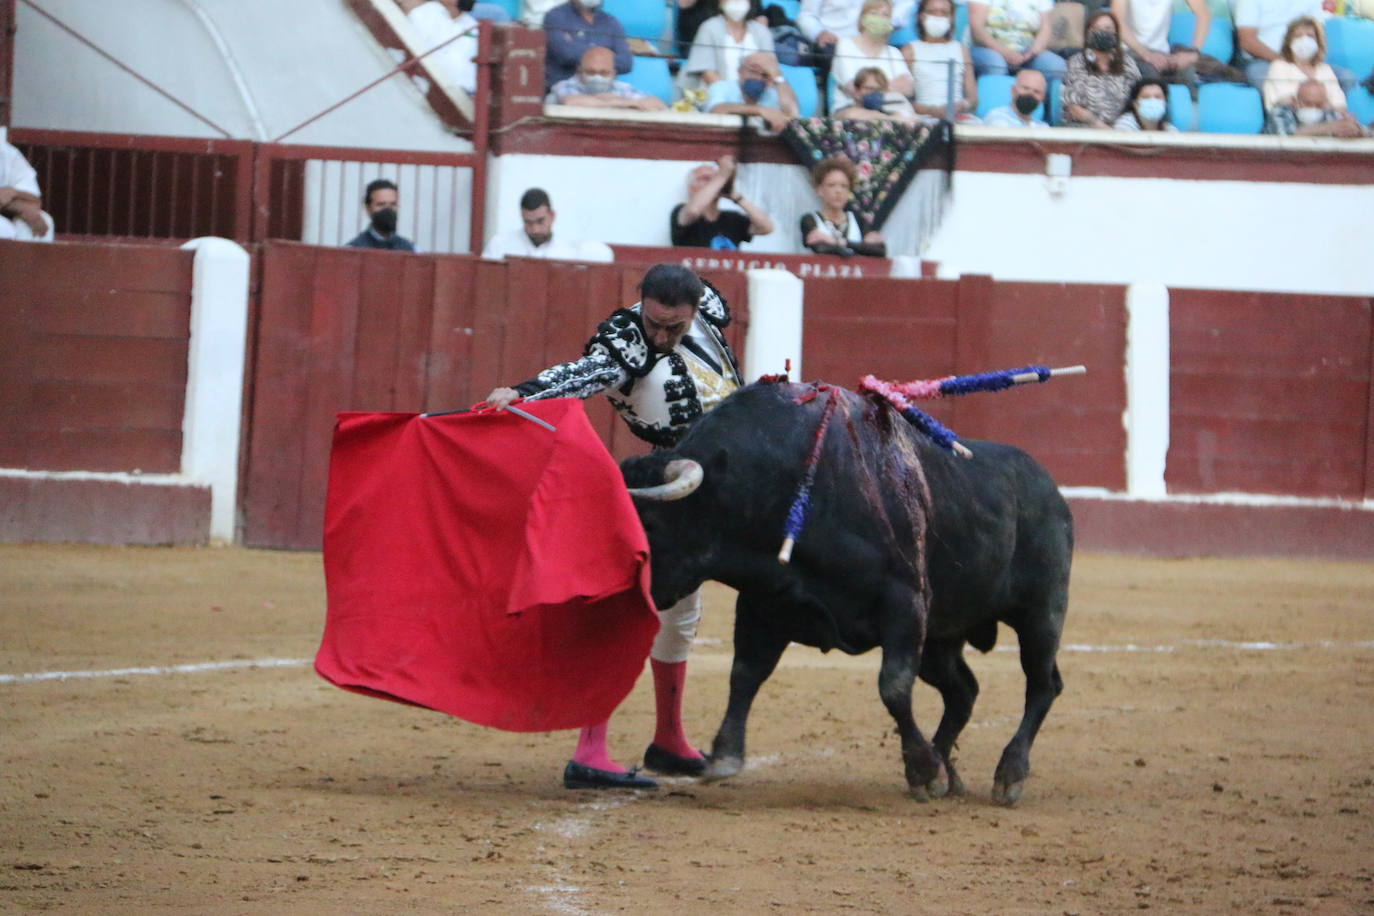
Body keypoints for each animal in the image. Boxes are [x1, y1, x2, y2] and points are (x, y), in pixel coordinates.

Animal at [623, 384, 1071, 807]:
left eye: (651, 523)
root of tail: (1052, 491)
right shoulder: (763, 605)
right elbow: (745, 674)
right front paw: (724, 756)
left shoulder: (905, 602)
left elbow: (893, 686)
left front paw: (923, 771)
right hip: (941, 639)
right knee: (964, 690)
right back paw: (948, 771)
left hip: (1040, 613)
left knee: (1041, 684)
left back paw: (1007, 775)